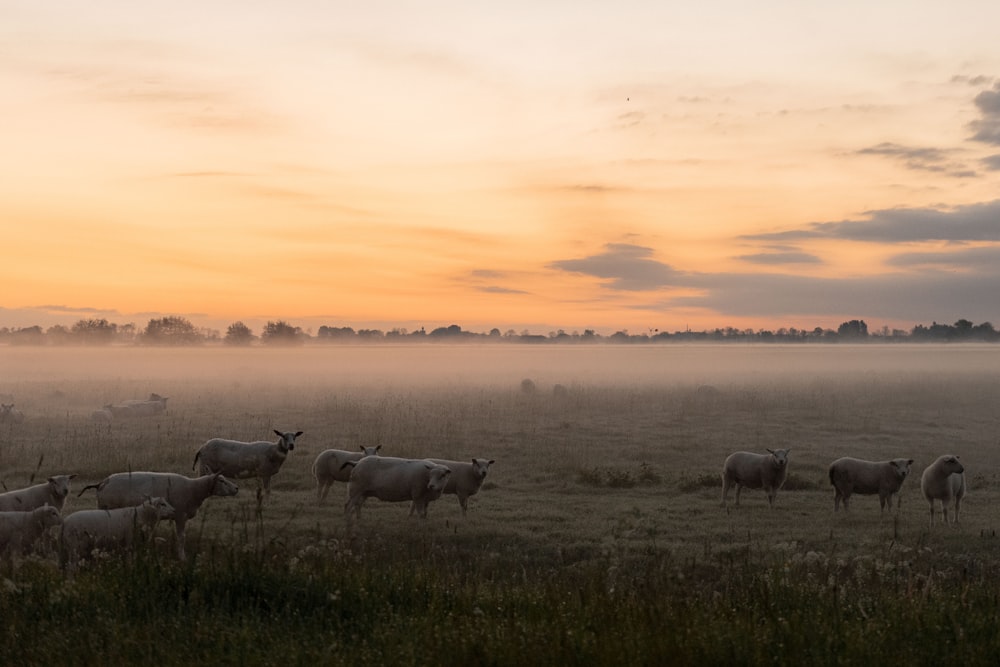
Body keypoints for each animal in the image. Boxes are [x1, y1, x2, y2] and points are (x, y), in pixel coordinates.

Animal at [79, 472, 239, 560]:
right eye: (221, 481)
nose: (237, 488)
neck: (194, 489)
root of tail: (102, 482)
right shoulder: (180, 516)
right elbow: (182, 538)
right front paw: (182, 557)